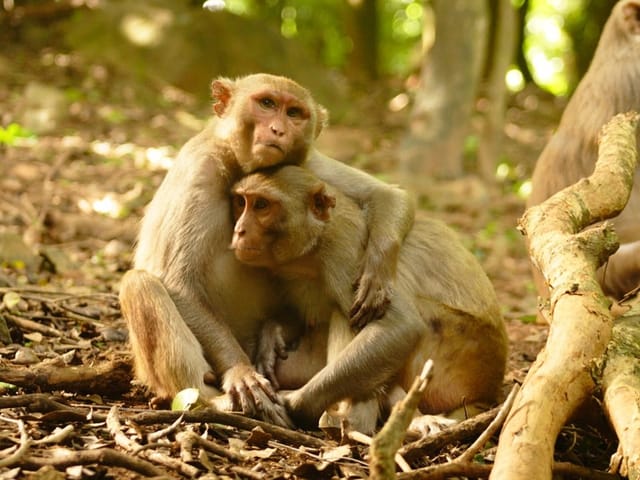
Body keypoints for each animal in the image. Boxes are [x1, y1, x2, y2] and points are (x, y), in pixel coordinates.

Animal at [228, 166, 508, 432]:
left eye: (261, 205)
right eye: (241, 202)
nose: (239, 230)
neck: (312, 250)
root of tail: (490, 390)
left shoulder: (345, 252)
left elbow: (400, 325)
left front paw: (292, 404)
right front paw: (272, 335)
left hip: (458, 356)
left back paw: (355, 421)